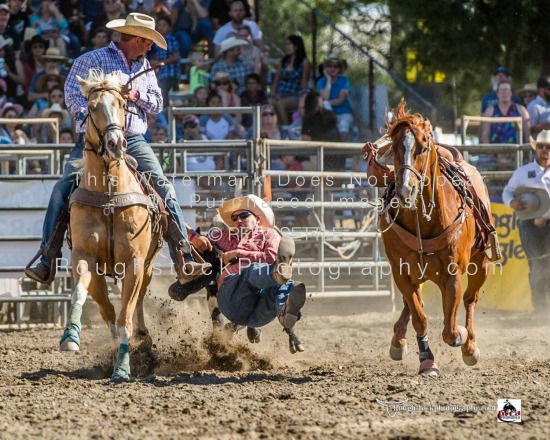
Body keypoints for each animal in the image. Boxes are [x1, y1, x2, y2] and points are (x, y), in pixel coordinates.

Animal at [61, 70, 164, 380]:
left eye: (121, 103)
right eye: (92, 106)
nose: (115, 144)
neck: (108, 193)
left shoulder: (135, 262)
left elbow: (125, 316)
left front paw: (122, 366)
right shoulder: (83, 256)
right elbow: (82, 294)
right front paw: (70, 336)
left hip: (148, 267)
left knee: (136, 303)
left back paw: (142, 337)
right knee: (106, 307)